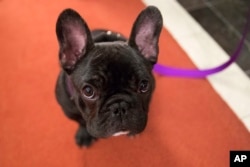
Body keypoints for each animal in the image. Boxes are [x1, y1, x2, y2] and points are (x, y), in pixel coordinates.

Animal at [55, 5, 163, 146]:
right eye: (88, 91)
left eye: (144, 86)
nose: (120, 106)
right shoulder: (69, 111)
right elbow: (81, 122)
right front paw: (84, 134)